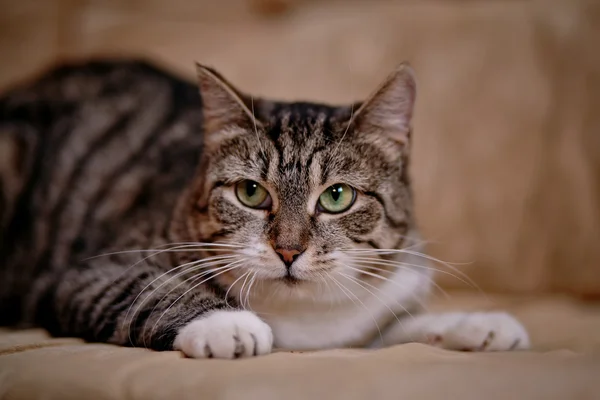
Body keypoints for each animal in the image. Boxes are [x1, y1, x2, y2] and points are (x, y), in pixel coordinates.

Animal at [0, 59, 528, 360]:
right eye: (251, 192)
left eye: (337, 196)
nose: (288, 250)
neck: (306, 324)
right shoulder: (88, 274)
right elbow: (150, 290)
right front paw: (225, 323)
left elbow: (407, 325)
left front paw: (479, 324)